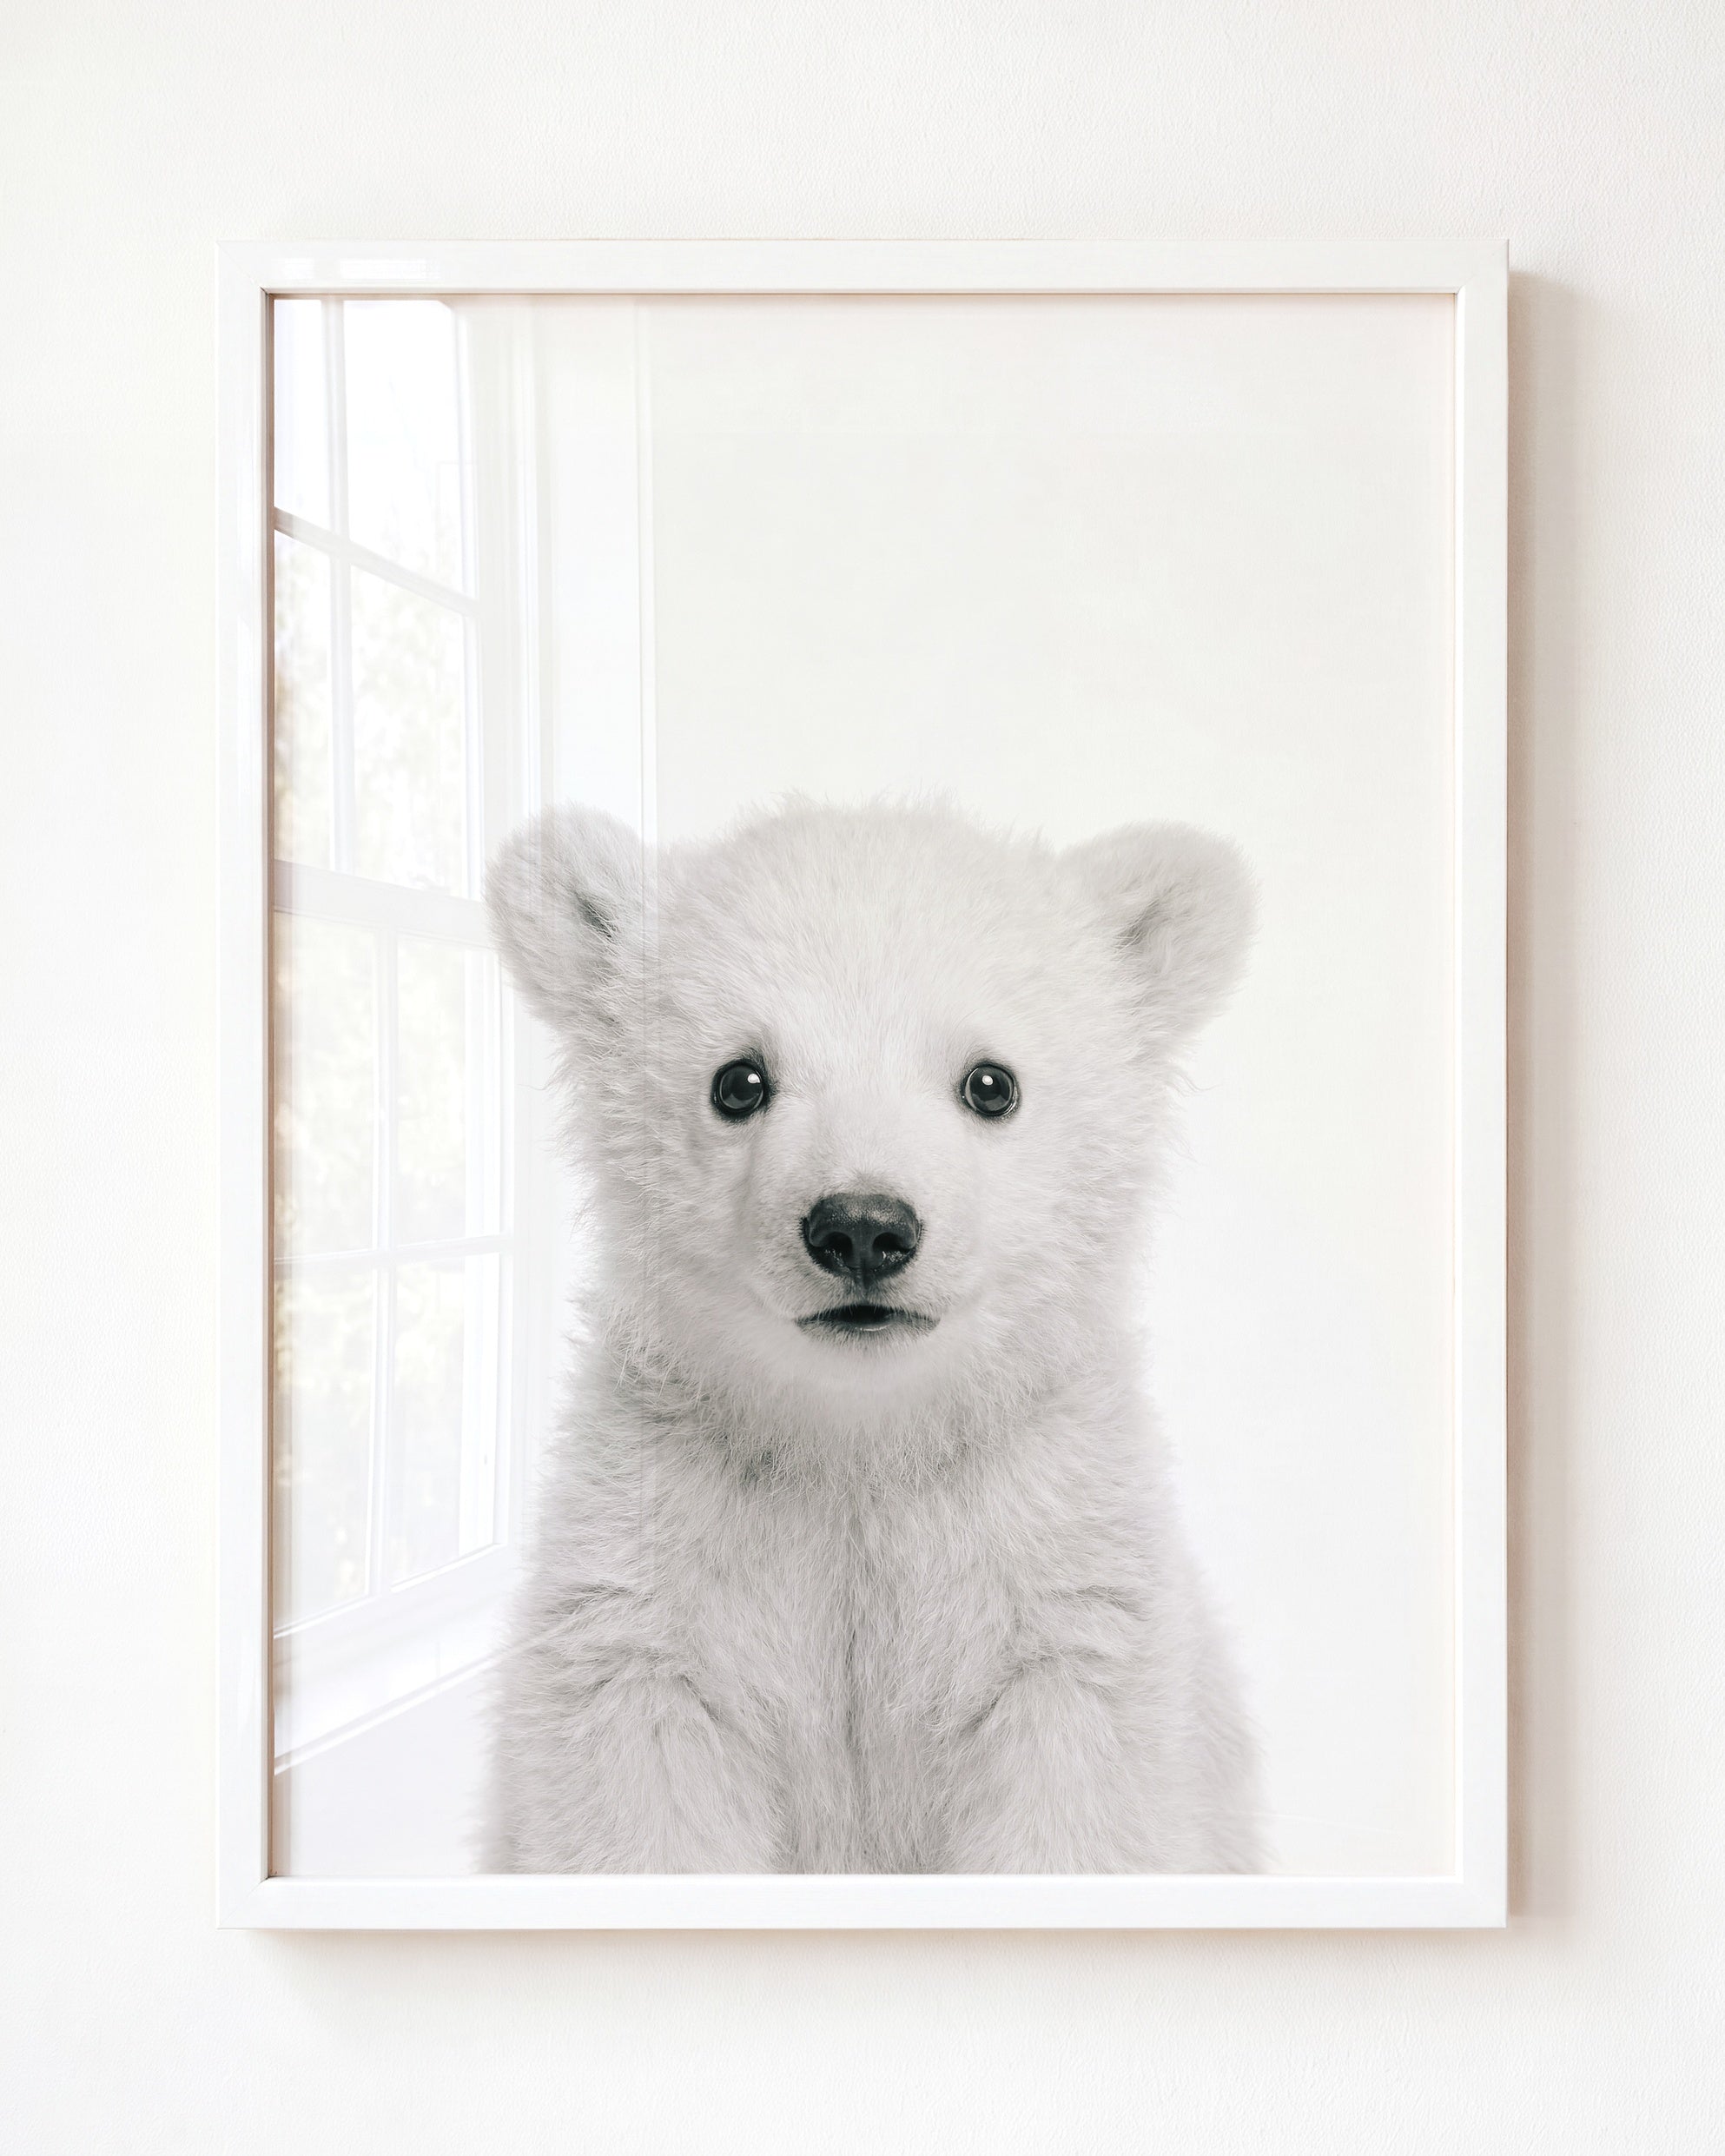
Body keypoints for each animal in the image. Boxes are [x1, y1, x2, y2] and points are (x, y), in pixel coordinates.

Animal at [483, 796, 1261, 1874]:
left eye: (991, 1082)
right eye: (738, 1079)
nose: (861, 1226)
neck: (861, 1444)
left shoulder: (1059, 1587)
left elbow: (1082, 1807)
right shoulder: (652, 1578)